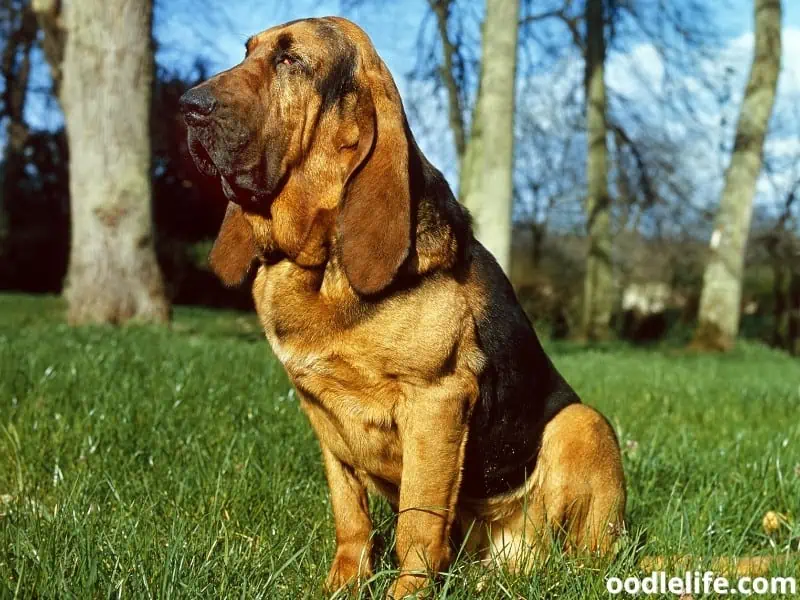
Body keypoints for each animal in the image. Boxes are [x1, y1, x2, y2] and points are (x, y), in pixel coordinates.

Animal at [180, 16, 624, 596]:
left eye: (290, 60)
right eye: (248, 51)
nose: (187, 106)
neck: (321, 266)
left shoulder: (436, 400)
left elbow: (418, 521)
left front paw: (405, 591)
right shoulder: (320, 414)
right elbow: (350, 516)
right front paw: (344, 585)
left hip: (581, 424)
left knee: (575, 560)